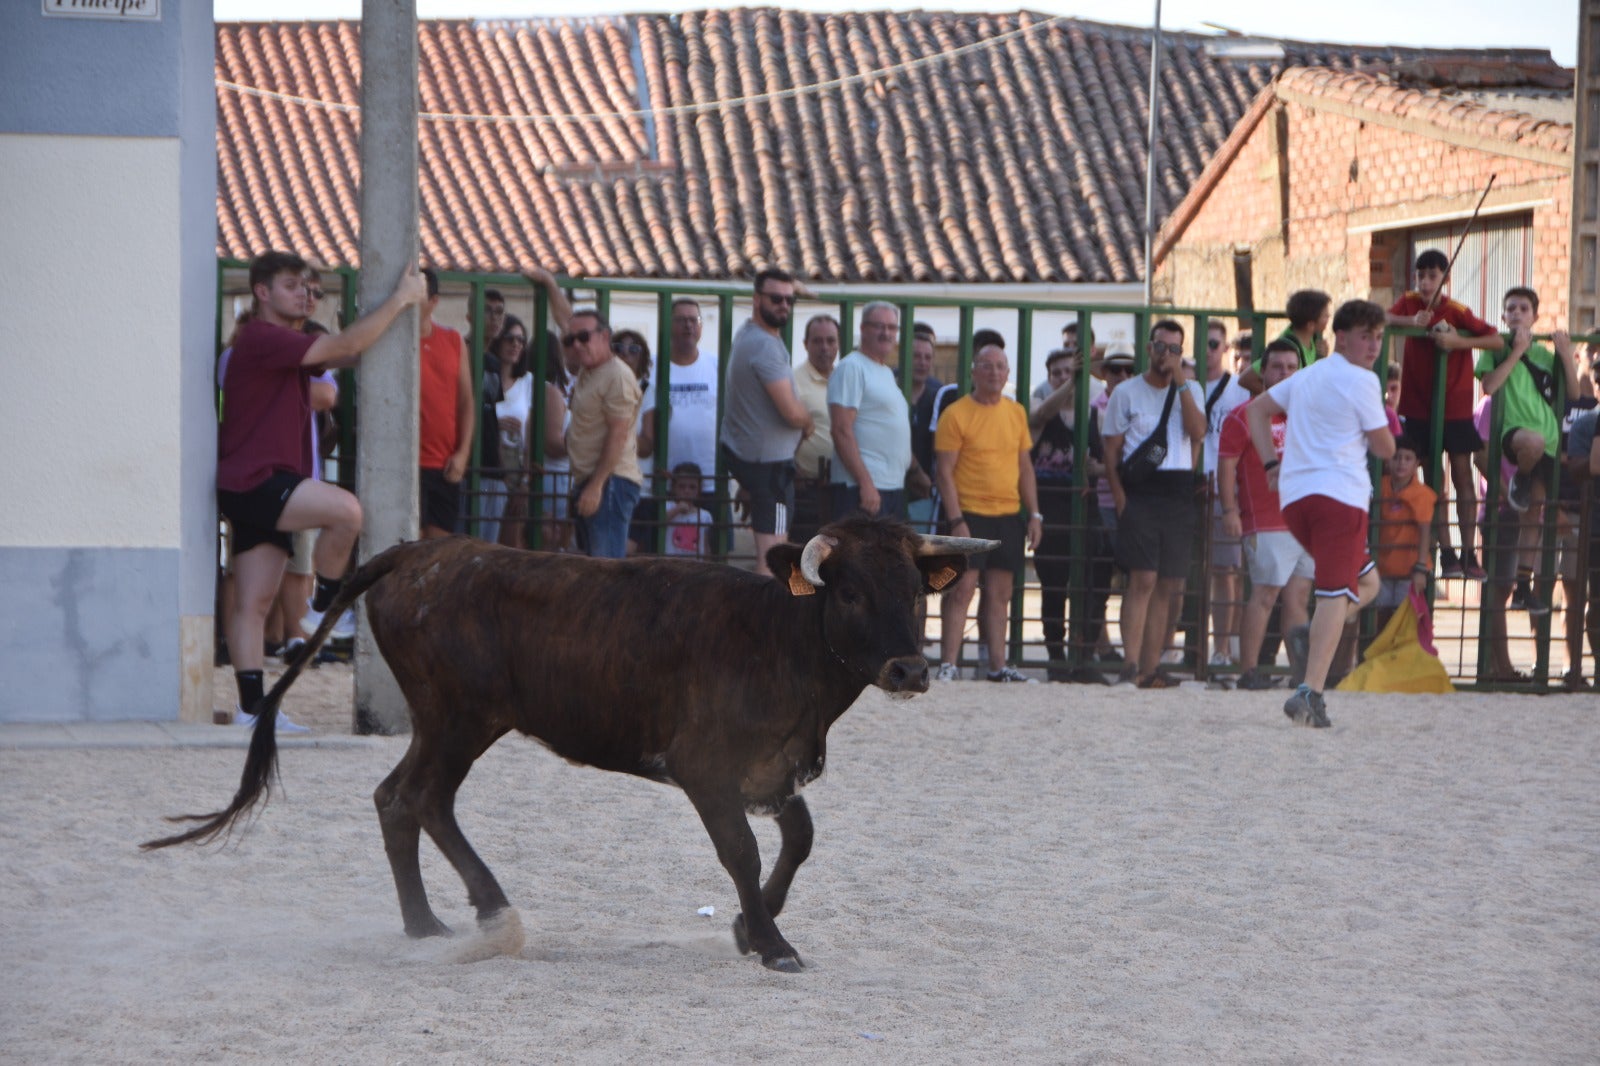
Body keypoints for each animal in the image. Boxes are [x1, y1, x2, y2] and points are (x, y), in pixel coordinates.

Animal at [144, 515, 992, 973]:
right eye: (849, 591)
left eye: (913, 591)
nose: (912, 668)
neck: (779, 638)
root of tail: (419, 553)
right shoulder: (706, 773)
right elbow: (743, 854)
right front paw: (772, 941)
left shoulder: (773, 773)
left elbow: (799, 841)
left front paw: (750, 927)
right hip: (459, 718)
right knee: (422, 798)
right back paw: (492, 912)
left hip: (445, 721)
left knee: (396, 798)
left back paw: (425, 923)